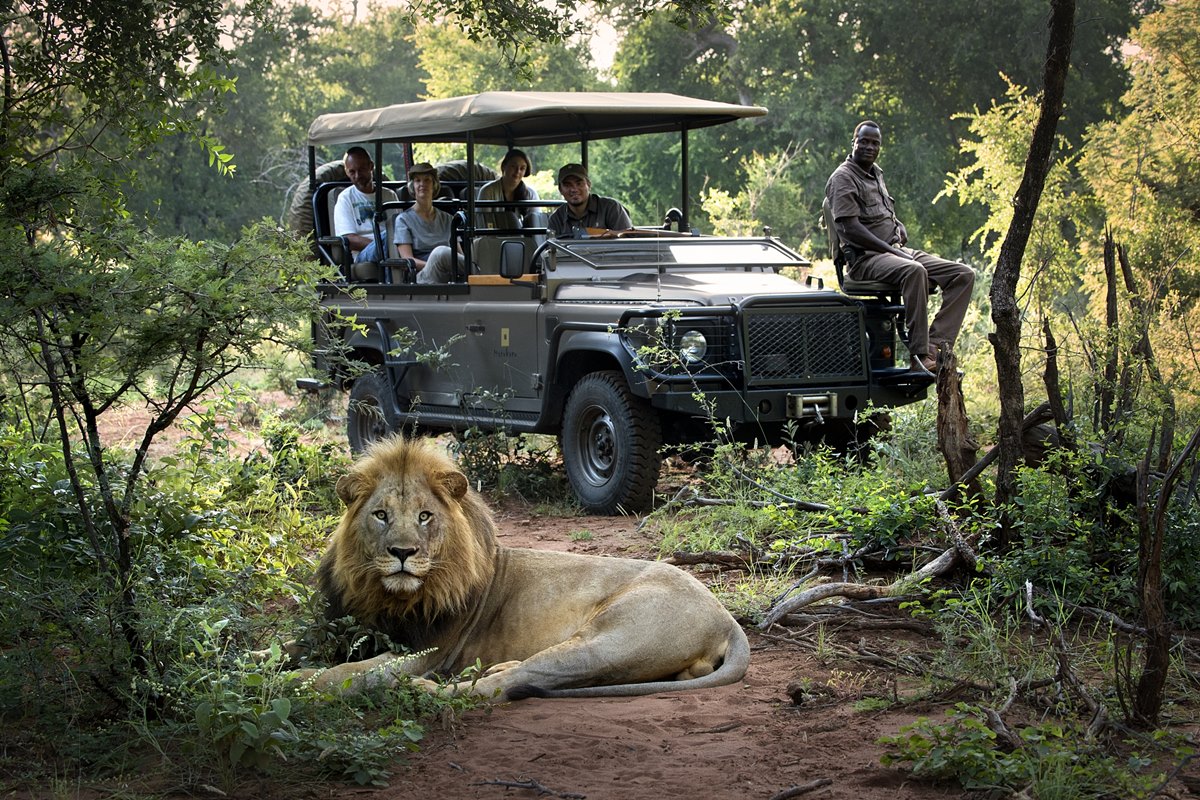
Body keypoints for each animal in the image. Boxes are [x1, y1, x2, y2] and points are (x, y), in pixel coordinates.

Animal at [280, 436, 749, 701]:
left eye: (425, 517)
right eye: (380, 515)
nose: (402, 552)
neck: (384, 596)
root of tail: (726, 617)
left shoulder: (424, 653)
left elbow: (343, 675)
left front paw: (295, 684)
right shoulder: (343, 625)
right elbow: (285, 648)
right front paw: (266, 662)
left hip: (607, 640)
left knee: (506, 685)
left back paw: (434, 690)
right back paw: (497, 666)